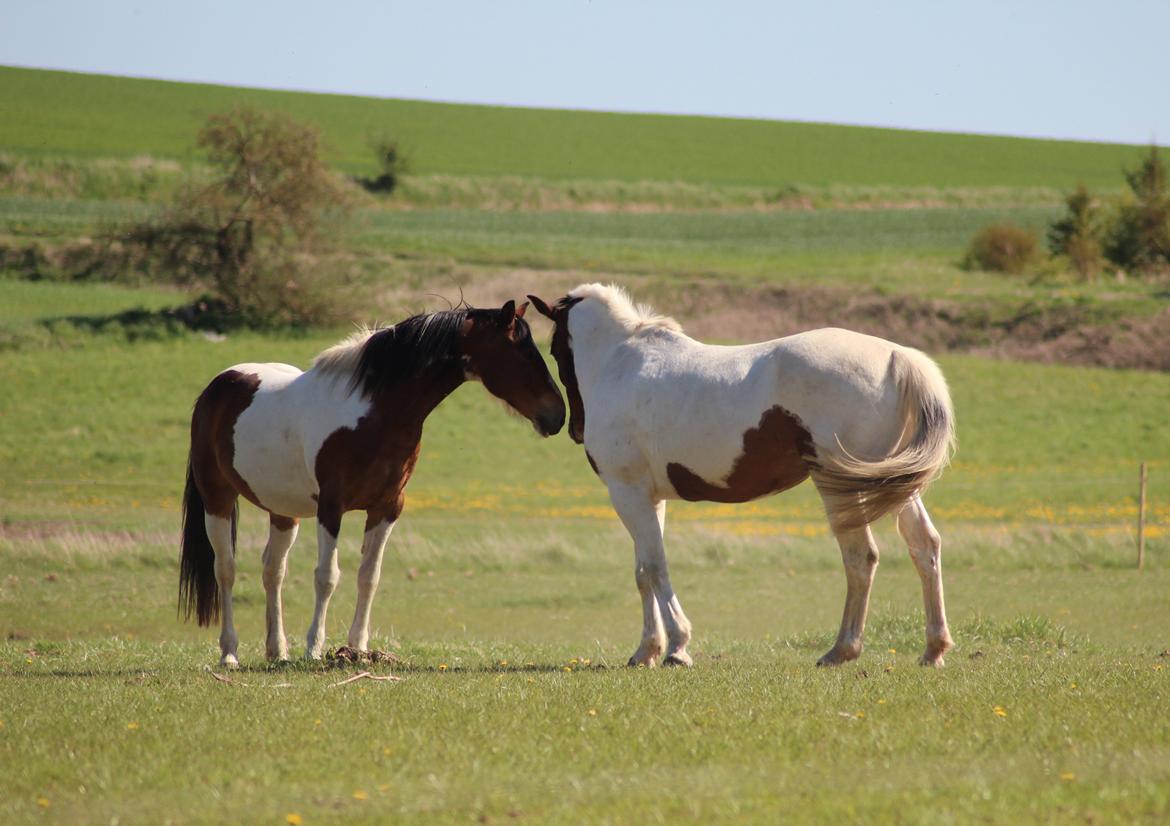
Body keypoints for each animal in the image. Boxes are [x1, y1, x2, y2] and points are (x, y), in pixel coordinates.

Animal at [180, 299, 563, 664]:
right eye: (524, 352)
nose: (557, 415)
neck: (373, 413)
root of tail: (217, 387)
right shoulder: (331, 507)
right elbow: (327, 576)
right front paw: (314, 647)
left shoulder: (387, 507)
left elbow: (369, 576)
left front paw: (357, 648)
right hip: (217, 499)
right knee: (226, 569)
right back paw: (230, 653)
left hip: (283, 511)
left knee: (273, 571)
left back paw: (278, 650)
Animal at [531, 283, 959, 669]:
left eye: (553, 350)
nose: (571, 428)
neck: (621, 363)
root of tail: (897, 357)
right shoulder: (650, 497)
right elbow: (642, 572)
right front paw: (647, 651)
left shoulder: (627, 492)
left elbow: (655, 566)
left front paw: (676, 648)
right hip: (894, 485)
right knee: (924, 545)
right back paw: (933, 649)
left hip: (844, 488)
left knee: (861, 557)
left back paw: (841, 650)